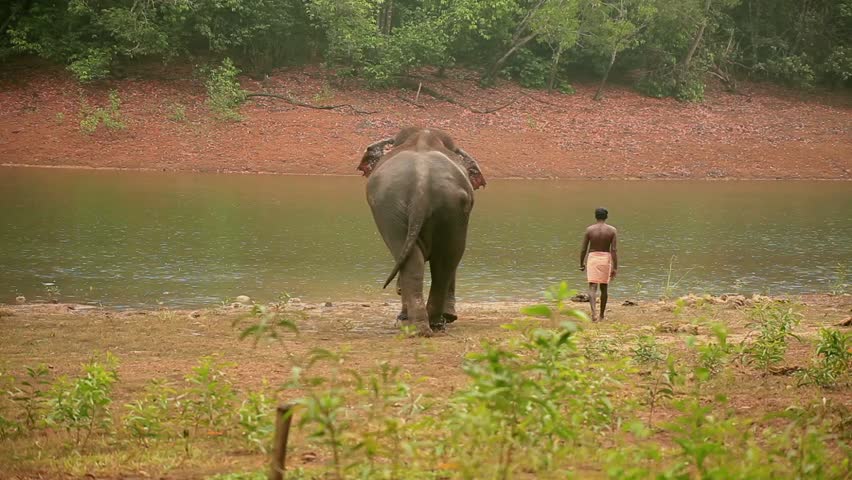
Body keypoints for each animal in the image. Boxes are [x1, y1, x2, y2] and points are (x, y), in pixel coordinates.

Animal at [357, 127, 486, 336]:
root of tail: (422, 184)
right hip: (443, 207)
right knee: (443, 261)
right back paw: (428, 326)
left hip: (393, 208)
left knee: (422, 261)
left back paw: (421, 325)